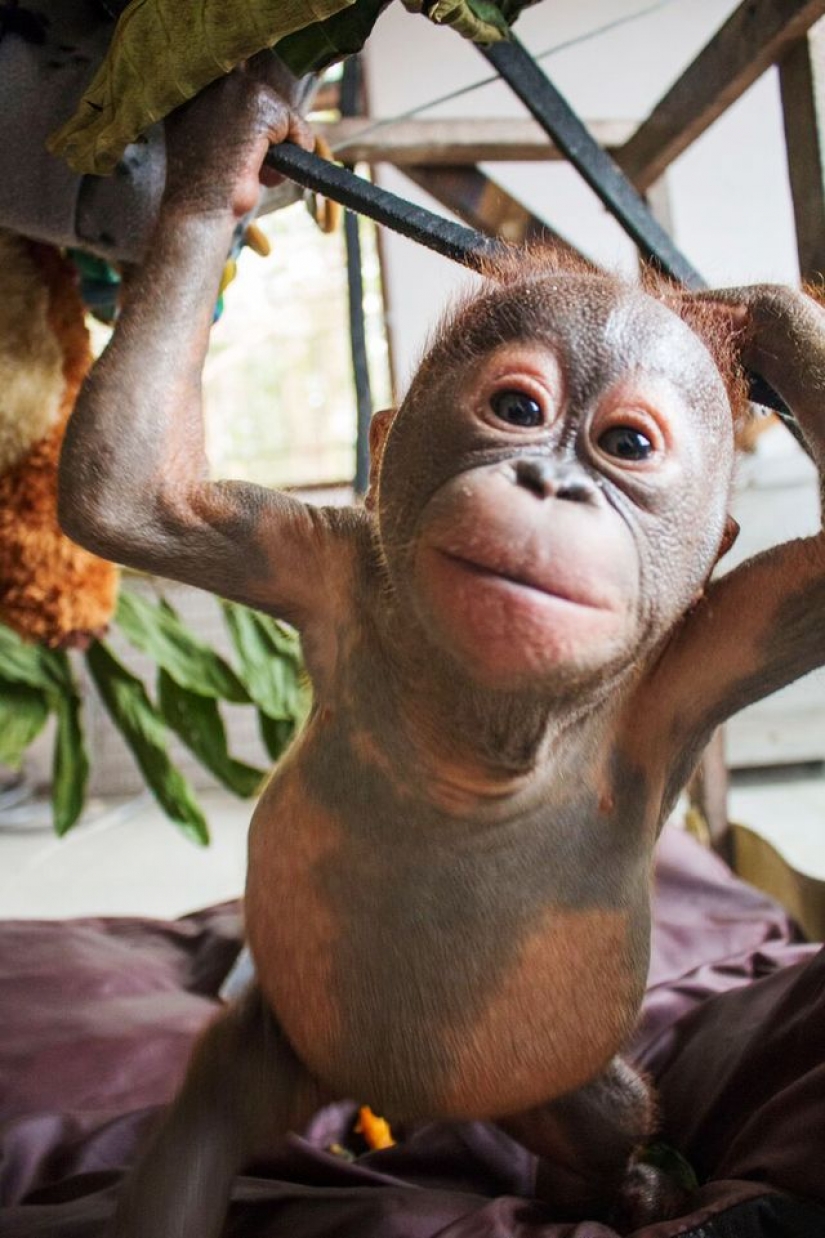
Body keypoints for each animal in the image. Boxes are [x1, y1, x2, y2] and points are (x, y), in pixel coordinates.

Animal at [57, 64, 825, 1238]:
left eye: (626, 445)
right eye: (517, 407)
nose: (551, 482)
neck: (489, 727)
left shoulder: (707, 654)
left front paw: (757, 306)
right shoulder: (323, 565)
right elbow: (124, 493)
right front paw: (234, 144)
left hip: (551, 1077)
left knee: (604, 1112)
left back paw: (633, 1186)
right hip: (289, 1042)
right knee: (209, 1112)